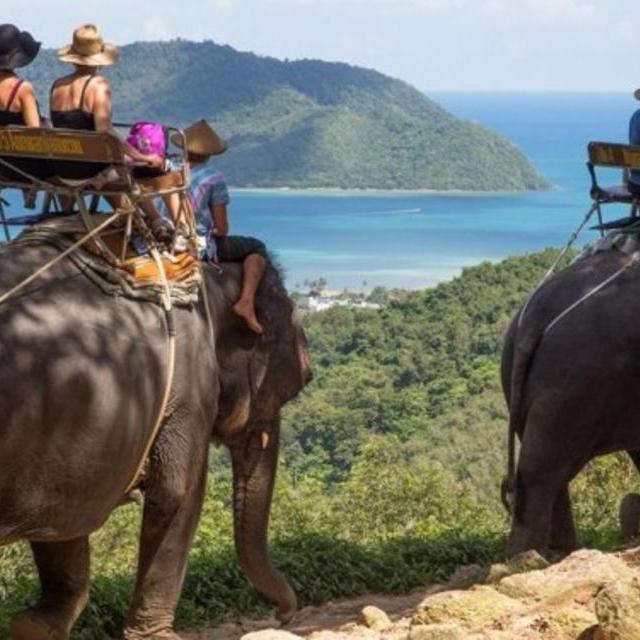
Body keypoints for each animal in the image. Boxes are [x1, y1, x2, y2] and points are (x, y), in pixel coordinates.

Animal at [0, 236, 311, 640]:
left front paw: (35, 625)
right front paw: (160, 636)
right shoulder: (188, 389)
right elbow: (179, 492)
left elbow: (69, 513)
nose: (283, 616)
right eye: (301, 379)